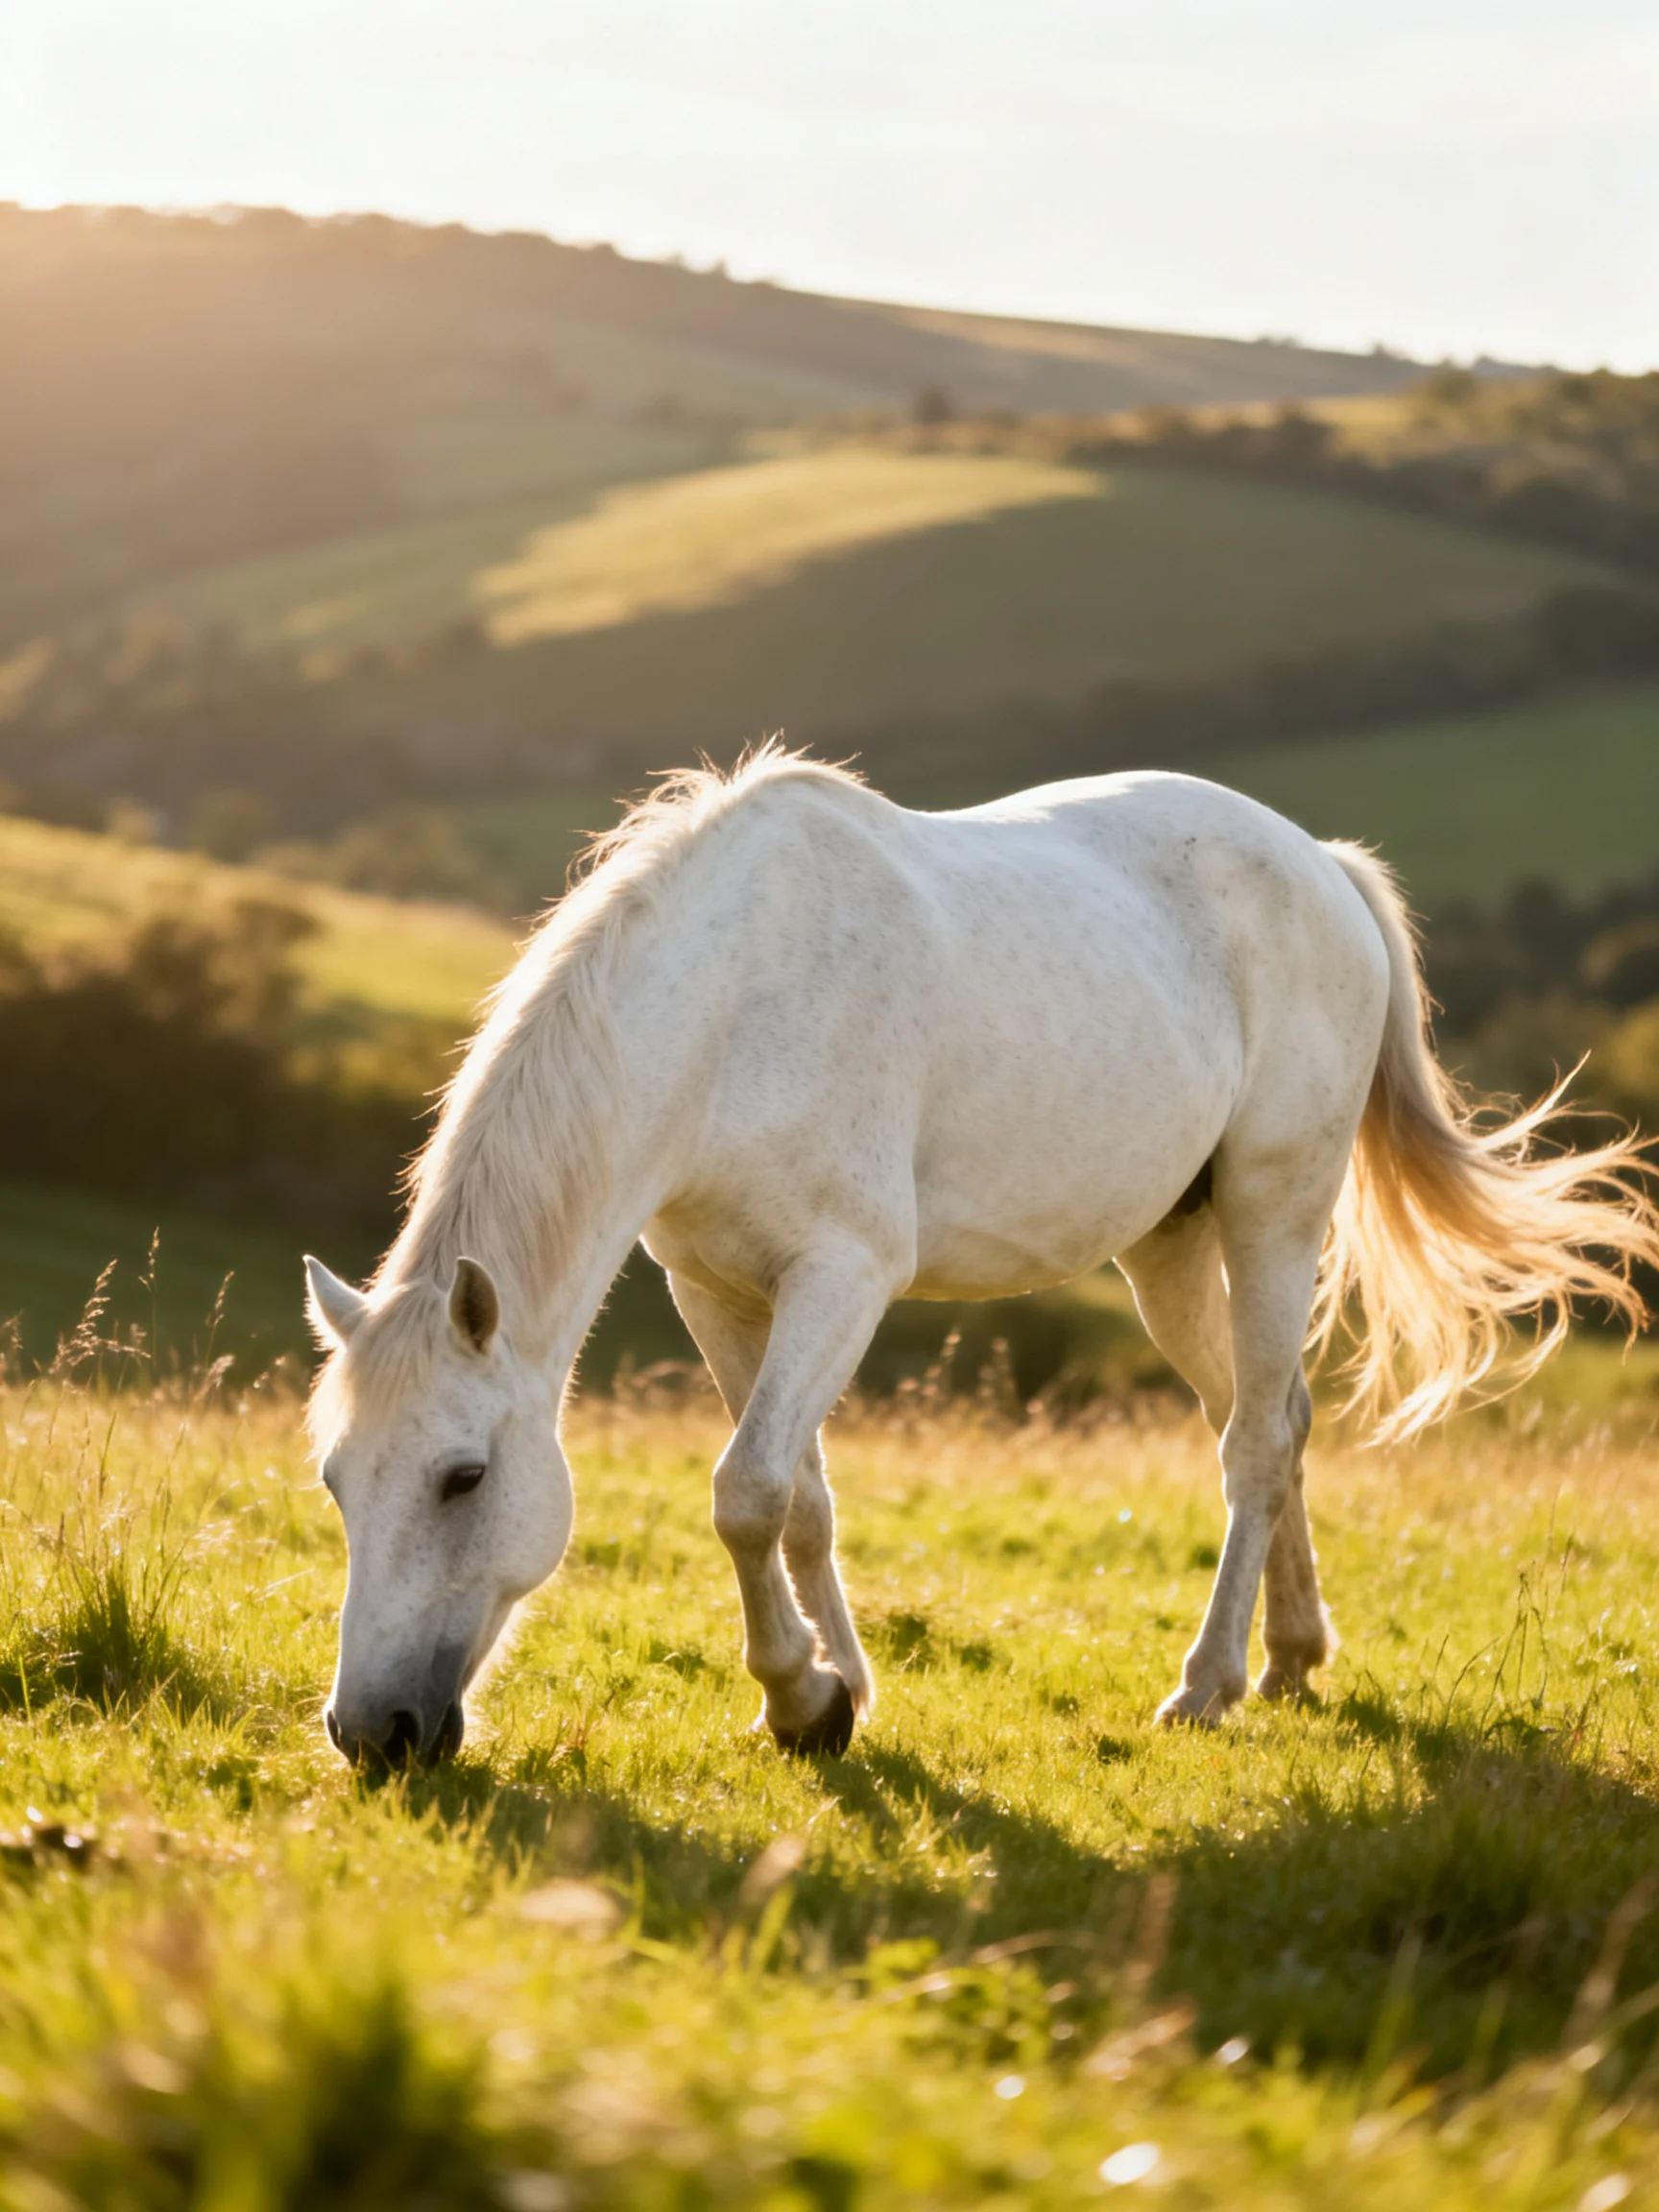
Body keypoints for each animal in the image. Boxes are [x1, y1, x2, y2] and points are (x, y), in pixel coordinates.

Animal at [304, 748, 1659, 1765]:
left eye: (464, 1478)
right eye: (337, 1481)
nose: (373, 1733)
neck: (733, 1007)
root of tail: (1322, 863)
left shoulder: (842, 1278)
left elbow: (747, 1493)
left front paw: (800, 1699)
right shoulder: (717, 1292)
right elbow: (800, 1498)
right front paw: (838, 1691)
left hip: (1275, 1212)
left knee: (1258, 1443)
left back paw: (1207, 1685)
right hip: (1168, 1252)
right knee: (1271, 1420)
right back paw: (1290, 1658)